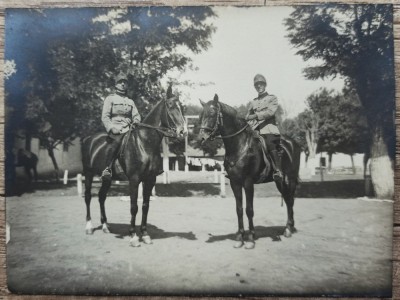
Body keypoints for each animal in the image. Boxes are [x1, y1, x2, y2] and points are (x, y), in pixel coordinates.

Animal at [82, 93, 188, 246]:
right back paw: (89, 227)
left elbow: (145, 206)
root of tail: (89, 138)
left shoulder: (150, 180)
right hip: (88, 174)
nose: (183, 131)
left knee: (101, 197)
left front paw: (145, 234)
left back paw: (105, 226)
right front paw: (133, 236)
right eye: (171, 106)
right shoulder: (134, 180)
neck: (144, 143)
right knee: (88, 197)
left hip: (107, 179)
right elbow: (134, 207)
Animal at [197, 95, 300, 248]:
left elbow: (249, 210)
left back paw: (288, 229)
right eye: (200, 115)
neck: (240, 146)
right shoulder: (235, 182)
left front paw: (250, 238)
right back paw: (289, 228)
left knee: (290, 200)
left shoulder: (248, 182)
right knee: (288, 200)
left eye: (212, 114)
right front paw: (240, 237)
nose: (201, 138)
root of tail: (293, 142)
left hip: (290, 179)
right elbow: (239, 210)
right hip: (280, 182)